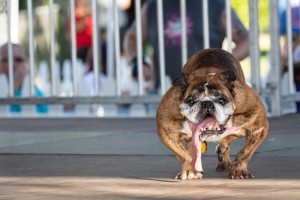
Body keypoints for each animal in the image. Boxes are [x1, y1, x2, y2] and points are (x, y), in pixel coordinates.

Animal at [156, 48, 268, 180]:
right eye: (191, 101)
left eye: (222, 100)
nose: (207, 103)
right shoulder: (167, 130)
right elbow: (183, 153)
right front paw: (190, 170)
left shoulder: (258, 127)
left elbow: (245, 152)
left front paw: (239, 170)